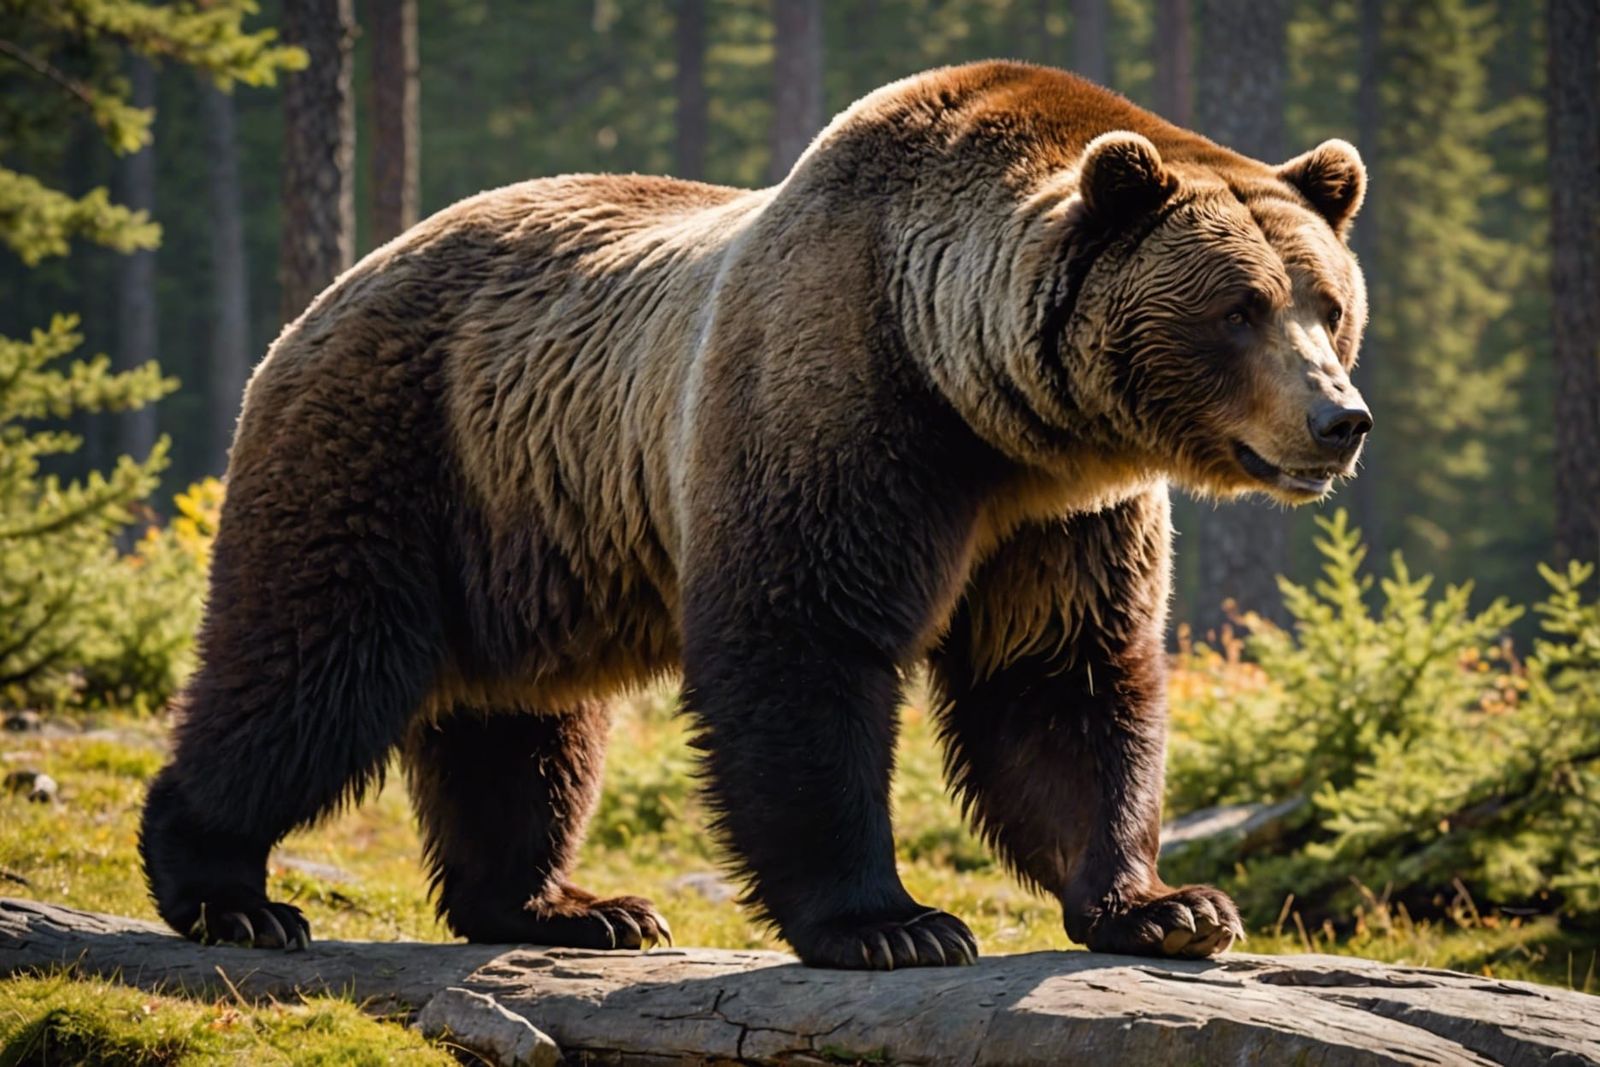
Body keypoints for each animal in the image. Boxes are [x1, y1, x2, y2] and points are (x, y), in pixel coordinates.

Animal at [140, 59, 1371, 969]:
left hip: (528, 526)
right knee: (311, 662)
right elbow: (803, 645)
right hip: (395, 447)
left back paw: (567, 905)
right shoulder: (840, 399)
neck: (981, 402)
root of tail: (331, 290)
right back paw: (227, 888)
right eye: (1238, 308)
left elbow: (1058, 678)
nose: (1339, 419)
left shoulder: (1059, 516)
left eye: (1328, 303)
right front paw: (894, 924)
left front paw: (1168, 905)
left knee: (525, 723)